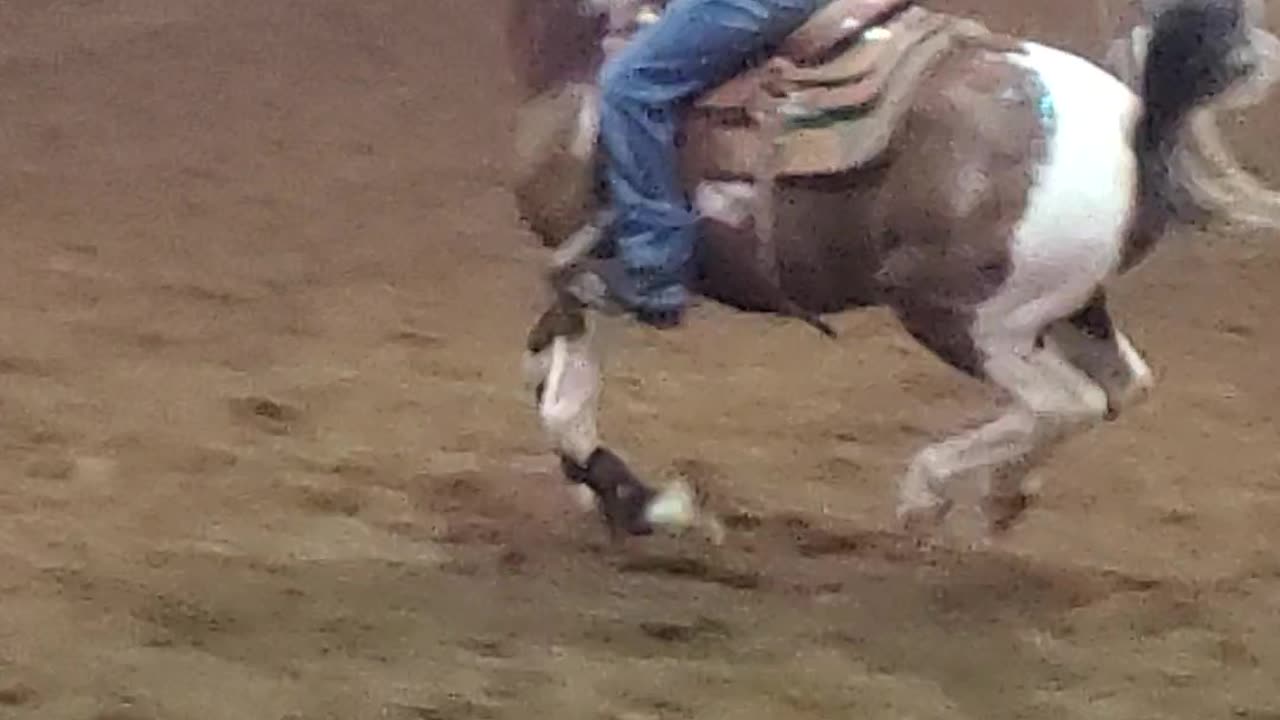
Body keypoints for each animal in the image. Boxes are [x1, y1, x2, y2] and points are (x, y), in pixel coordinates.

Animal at [509, 0, 1280, 538]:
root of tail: (1138, 125)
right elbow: (548, 383)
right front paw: (612, 494)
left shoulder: (600, 276)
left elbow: (563, 410)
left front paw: (652, 506)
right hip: (1070, 306)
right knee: (1122, 389)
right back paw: (1003, 494)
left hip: (964, 317)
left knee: (1068, 403)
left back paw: (929, 493)